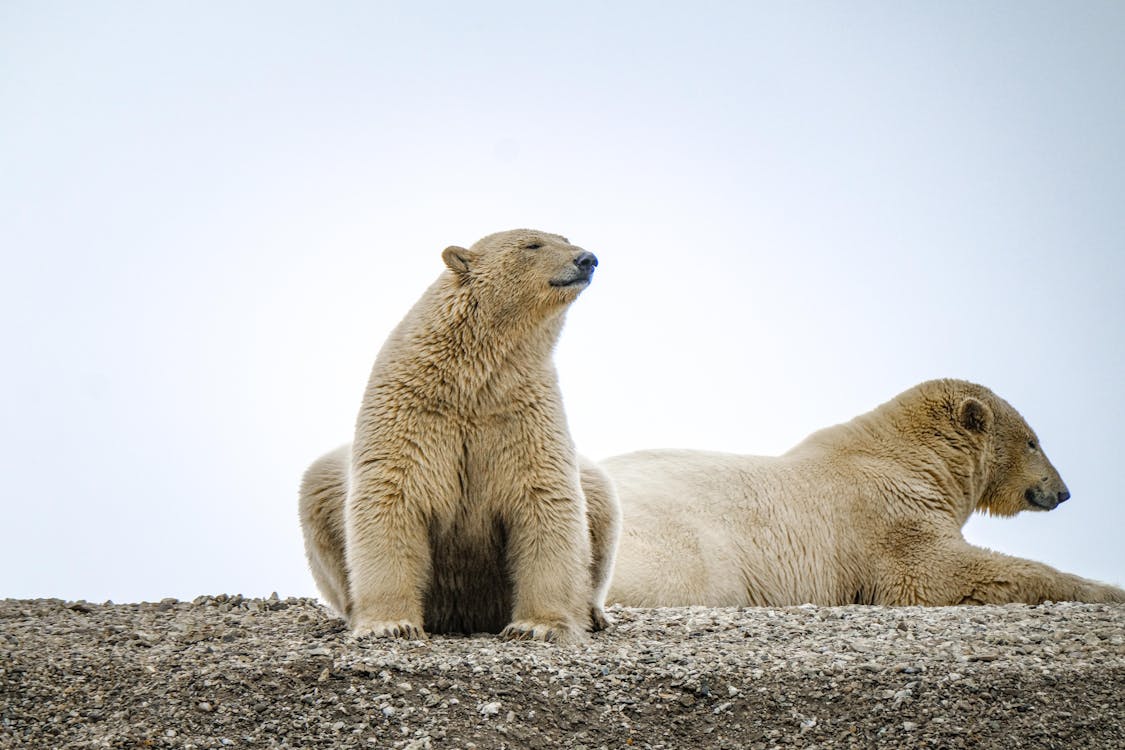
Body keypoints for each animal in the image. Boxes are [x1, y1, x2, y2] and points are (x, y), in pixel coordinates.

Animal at [303, 230, 621, 647]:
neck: (471, 382)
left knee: (599, 496)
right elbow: (391, 497)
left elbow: (545, 498)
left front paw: (537, 626)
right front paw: (391, 624)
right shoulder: (412, 412)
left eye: (565, 237)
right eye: (533, 245)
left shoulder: (522, 413)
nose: (588, 259)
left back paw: (595, 613)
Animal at [607, 377, 1125, 607]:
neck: (913, 458)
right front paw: (1107, 589)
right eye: (1034, 442)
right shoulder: (888, 516)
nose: (1063, 492)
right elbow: (941, 573)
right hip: (688, 547)